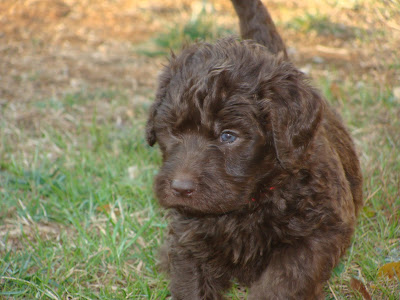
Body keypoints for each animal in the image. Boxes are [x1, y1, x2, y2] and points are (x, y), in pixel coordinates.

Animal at [146, 0, 362, 298]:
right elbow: (191, 283)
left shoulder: (318, 234)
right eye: (173, 131)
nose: (180, 188)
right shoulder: (188, 240)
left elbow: (281, 283)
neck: (251, 202)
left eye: (229, 136)